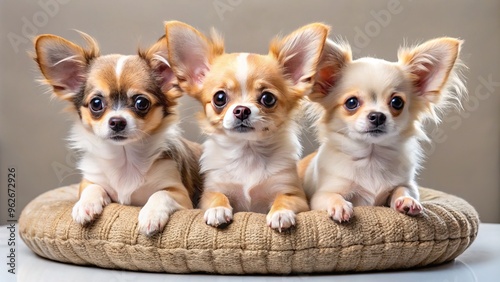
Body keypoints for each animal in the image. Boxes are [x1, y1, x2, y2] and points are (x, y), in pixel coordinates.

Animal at [33, 32, 203, 236]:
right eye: (96, 103)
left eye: (141, 103)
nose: (117, 121)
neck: (125, 157)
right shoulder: (90, 180)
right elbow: (92, 188)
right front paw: (85, 205)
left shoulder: (180, 193)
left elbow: (160, 194)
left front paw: (151, 215)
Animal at [164, 20, 328, 231]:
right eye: (219, 98)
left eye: (268, 98)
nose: (242, 110)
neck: (248, 153)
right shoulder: (209, 193)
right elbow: (217, 196)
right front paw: (217, 210)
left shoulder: (294, 194)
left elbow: (284, 199)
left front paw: (281, 213)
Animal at [296, 37, 464, 223]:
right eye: (351, 102)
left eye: (397, 102)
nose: (377, 116)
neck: (372, 158)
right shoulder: (321, 195)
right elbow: (331, 196)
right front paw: (339, 205)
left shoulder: (408, 184)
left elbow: (403, 189)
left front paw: (407, 200)